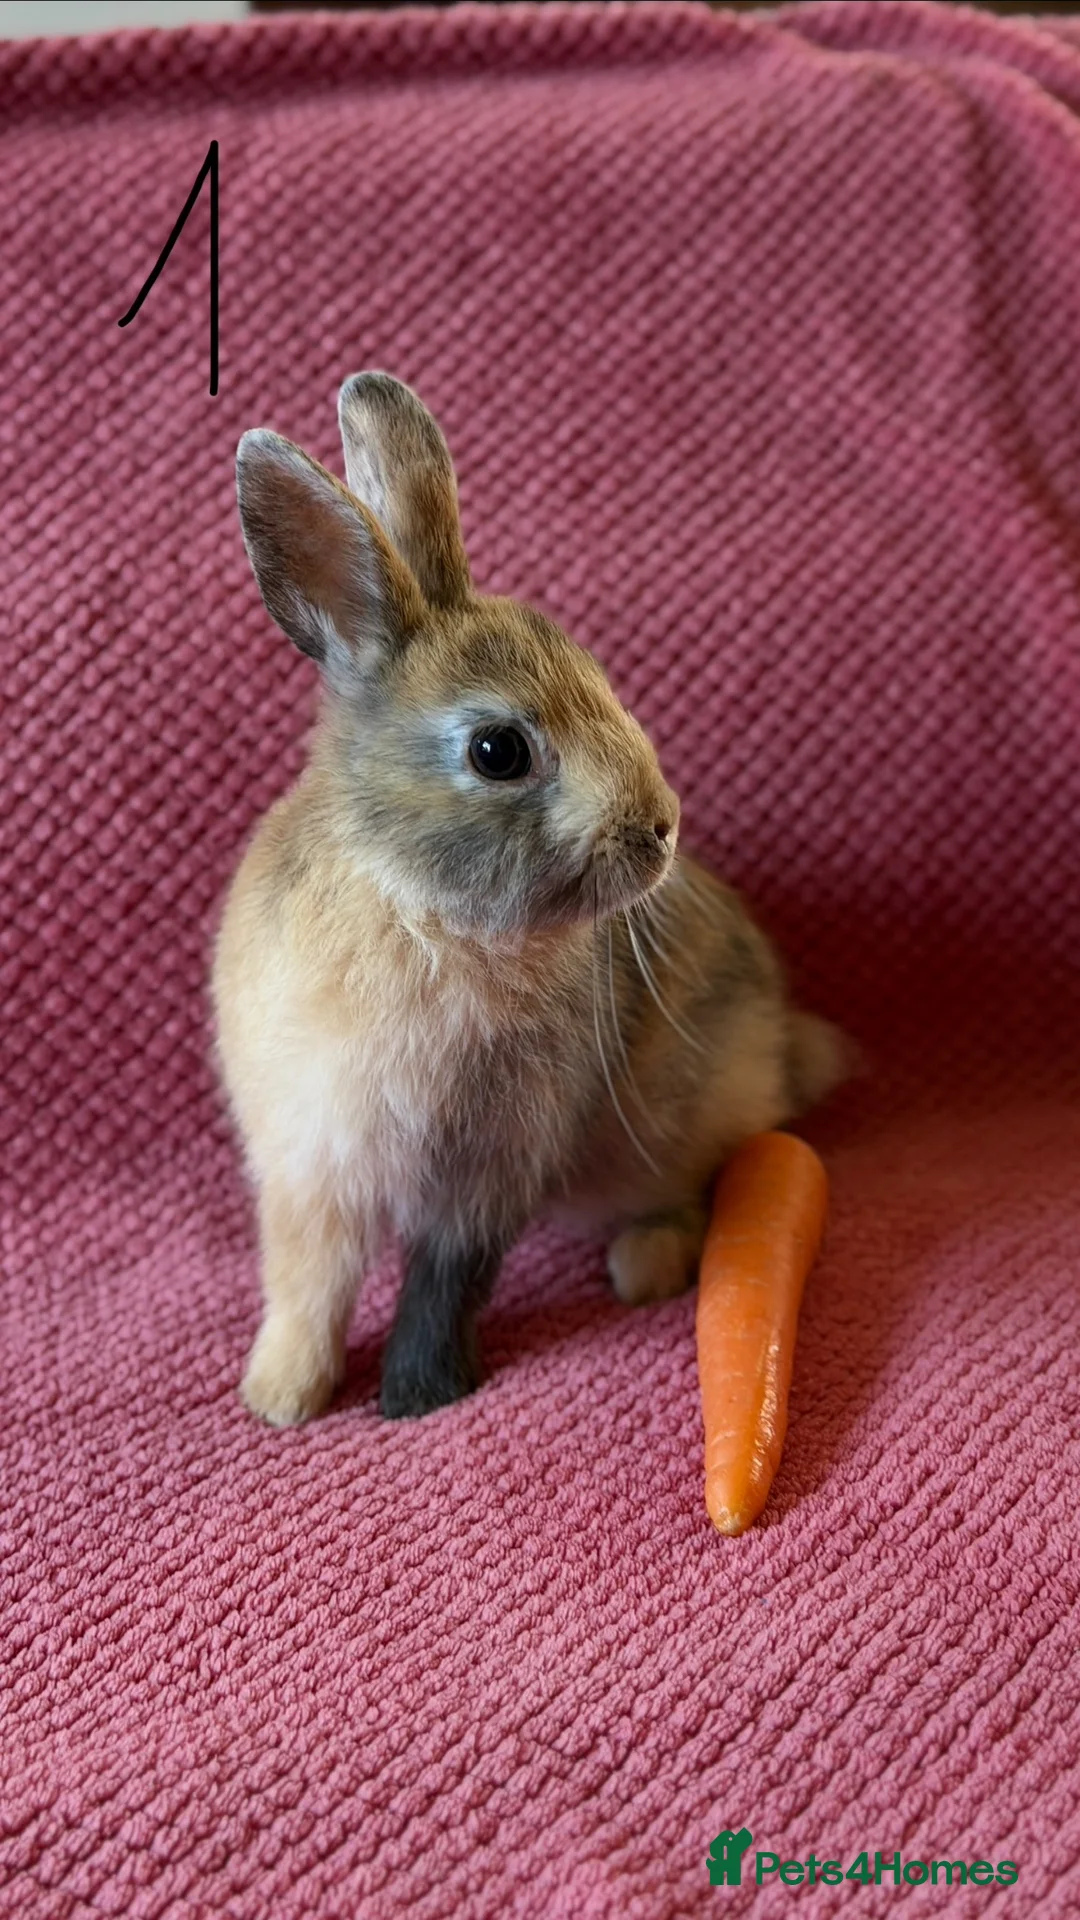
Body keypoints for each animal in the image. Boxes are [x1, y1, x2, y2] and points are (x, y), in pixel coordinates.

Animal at [212, 372, 849, 1427]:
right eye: (497, 751)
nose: (660, 827)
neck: (421, 908)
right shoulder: (311, 1161)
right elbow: (309, 1284)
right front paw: (280, 1398)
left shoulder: (490, 1168)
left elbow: (444, 1279)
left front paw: (417, 1397)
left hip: (671, 1125)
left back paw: (646, 1269)